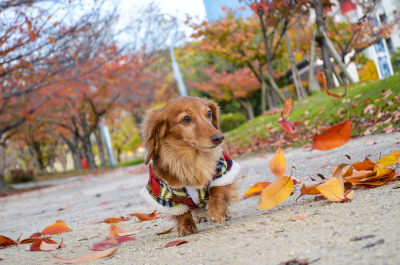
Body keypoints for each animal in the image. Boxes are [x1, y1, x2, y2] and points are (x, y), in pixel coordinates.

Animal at [141, 96, 241, 234]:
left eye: (209, 113)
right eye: (186, 119)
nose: (219, 137)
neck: (191, 160)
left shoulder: (224, 171)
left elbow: (217, 190)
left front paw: (216, 213)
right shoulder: (162, 190)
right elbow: (181, 212)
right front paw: (186, 226)